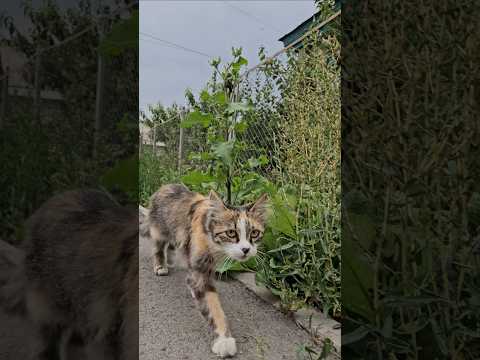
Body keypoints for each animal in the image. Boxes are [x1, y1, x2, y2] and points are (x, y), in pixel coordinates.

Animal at [142, 184, 270, 358]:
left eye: (254, 233)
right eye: (231, 233)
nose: (246, 249)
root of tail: (164, 186)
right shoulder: (200, 268)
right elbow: (213, 307)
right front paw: (224, 340)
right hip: (159, 229)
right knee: (159, 246)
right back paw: (161, 265)